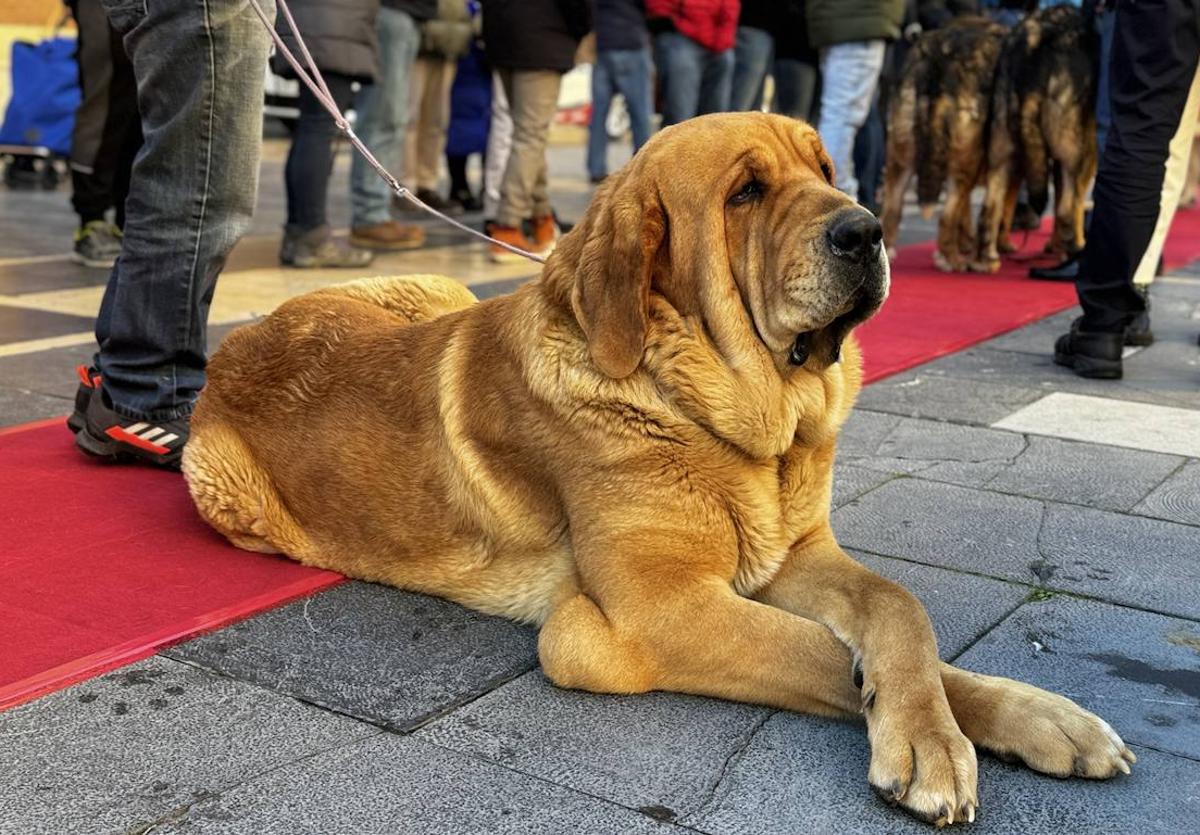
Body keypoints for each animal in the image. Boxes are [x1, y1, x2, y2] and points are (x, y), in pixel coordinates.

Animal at [184, 112, 1132, 830]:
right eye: (745, 192)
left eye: (827, 168)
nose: (866, 229)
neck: (708, 406)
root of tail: (231, 345)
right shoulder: (657, 610)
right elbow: (819, 650)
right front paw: (925, 737)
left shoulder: (796, 555)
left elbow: (903, 614)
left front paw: (1026, 717)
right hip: (221, 483)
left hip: (433, 290)